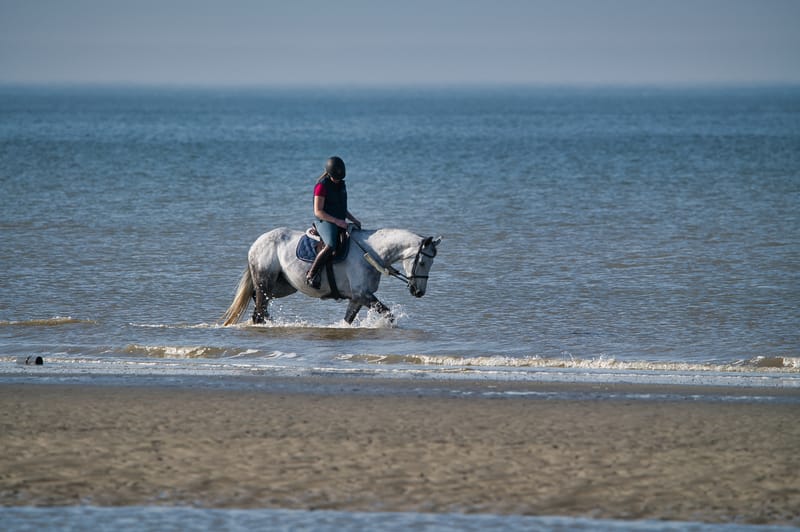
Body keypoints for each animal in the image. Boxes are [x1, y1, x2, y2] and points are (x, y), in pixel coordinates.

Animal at [221, 226, 441, 326]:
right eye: (422, 262)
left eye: (431, 263)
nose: (418, 291)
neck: (370, 253)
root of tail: (256, 243)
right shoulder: (363, 295)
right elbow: (388, 314)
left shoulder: (357, 298)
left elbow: (347, 320)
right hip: (265, 283)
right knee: (259, 310)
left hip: (281, 287)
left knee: (259, 306)